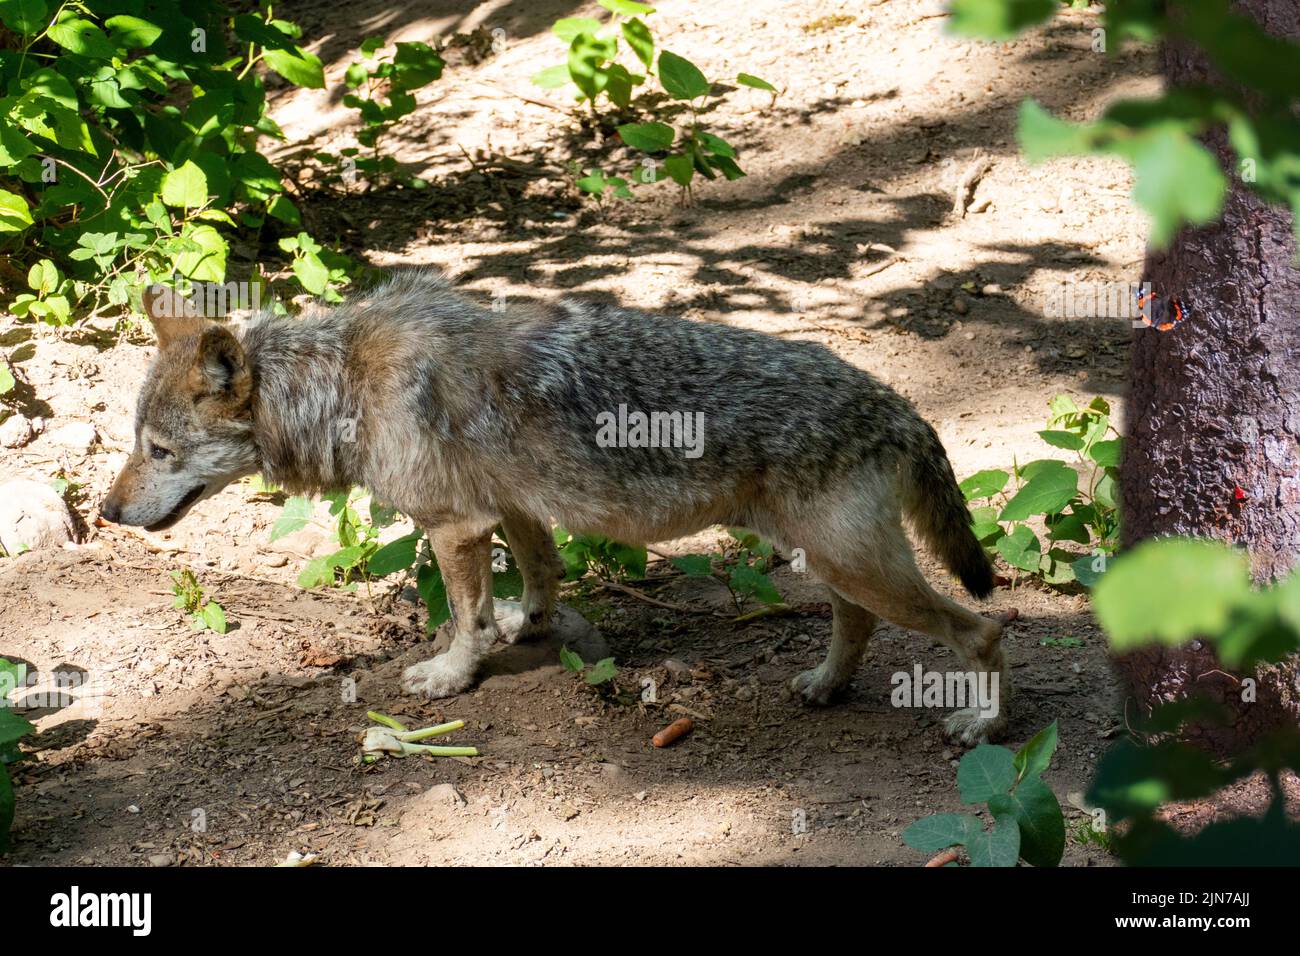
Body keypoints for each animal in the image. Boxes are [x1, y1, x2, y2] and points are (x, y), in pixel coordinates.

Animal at [104, 273, 1013, 743]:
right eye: (136, 442)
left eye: (159, 451)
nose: (108, 513)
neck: (342, 385)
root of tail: (898, 403)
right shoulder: (512, 506)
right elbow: (539, 577)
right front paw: (526, 627)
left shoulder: (454, 524)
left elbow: (466, 617)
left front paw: (453, 675)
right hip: (825, 559)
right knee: (855, 622)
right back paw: (826, 685)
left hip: (856, 563)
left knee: (982, 630)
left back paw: (981, 726)